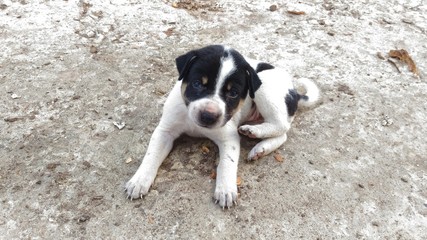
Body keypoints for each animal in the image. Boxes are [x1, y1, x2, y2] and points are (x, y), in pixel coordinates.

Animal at [125, 44, 320, 208]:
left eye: (233, 93)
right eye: (197, 83)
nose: (208, 116)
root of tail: (295, 93)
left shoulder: (229, 137)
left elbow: (227, 163)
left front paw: (226, 189)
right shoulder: (165, 131)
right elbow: (151, 155)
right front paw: (139, 180)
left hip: (264, 89)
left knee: (282, 127)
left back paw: (254, 133)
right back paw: (260, 146)